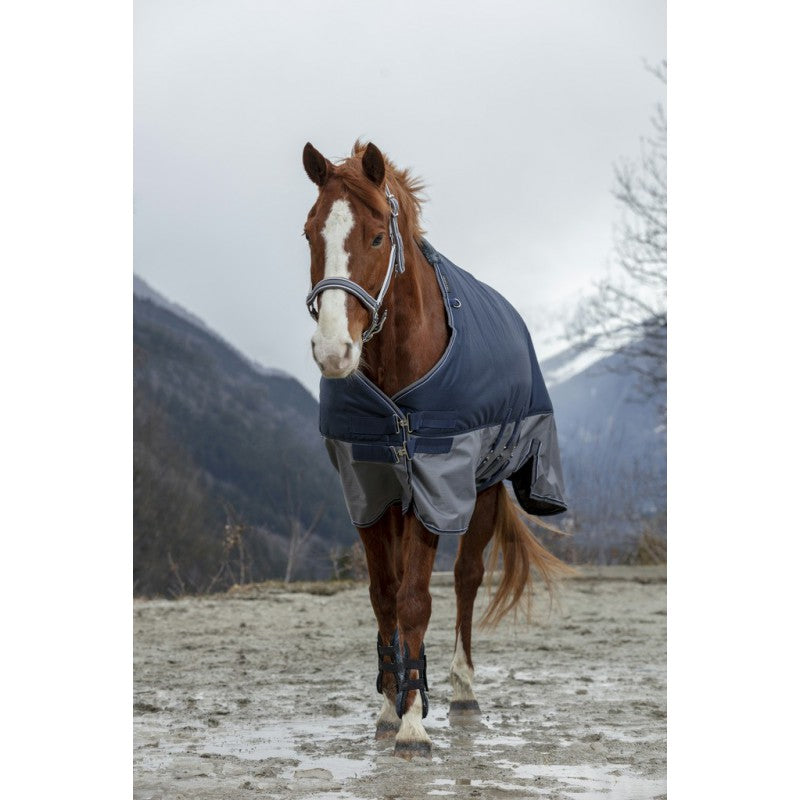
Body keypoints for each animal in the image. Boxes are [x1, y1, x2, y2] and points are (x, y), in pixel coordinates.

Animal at [301, 140, 572, 759]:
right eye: (308, 234)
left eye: (377, 237)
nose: (333, 350)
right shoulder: (369, 486)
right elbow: (386, 595)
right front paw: (390, 703)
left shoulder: (437, 480)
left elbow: (418, 599)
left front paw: (412, 724)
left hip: (485, 487)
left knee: (468, 579)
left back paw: (462, 690)